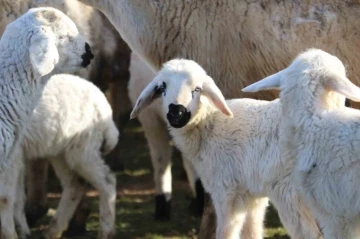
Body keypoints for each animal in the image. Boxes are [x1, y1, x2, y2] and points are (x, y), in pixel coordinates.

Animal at [130, 58, 324, 239]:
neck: (210, 124)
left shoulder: (226, 191)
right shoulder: (252, 195)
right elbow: (252, 231)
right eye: (162, 87)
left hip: (290, 193)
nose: (176, 113)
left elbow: (226, 232)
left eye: (197, 89)